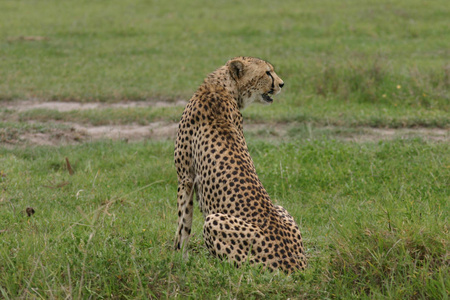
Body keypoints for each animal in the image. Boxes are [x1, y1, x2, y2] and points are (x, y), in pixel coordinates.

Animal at [174, 56, 308, 274]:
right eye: (267, 72)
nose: (281, 84)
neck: (221, 87)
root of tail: (295, 264)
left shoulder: (185, 177)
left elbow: (183, 224)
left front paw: (178, 259)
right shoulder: (187, 177)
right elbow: (184, 222)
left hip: (214, 221)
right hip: (281, 208)